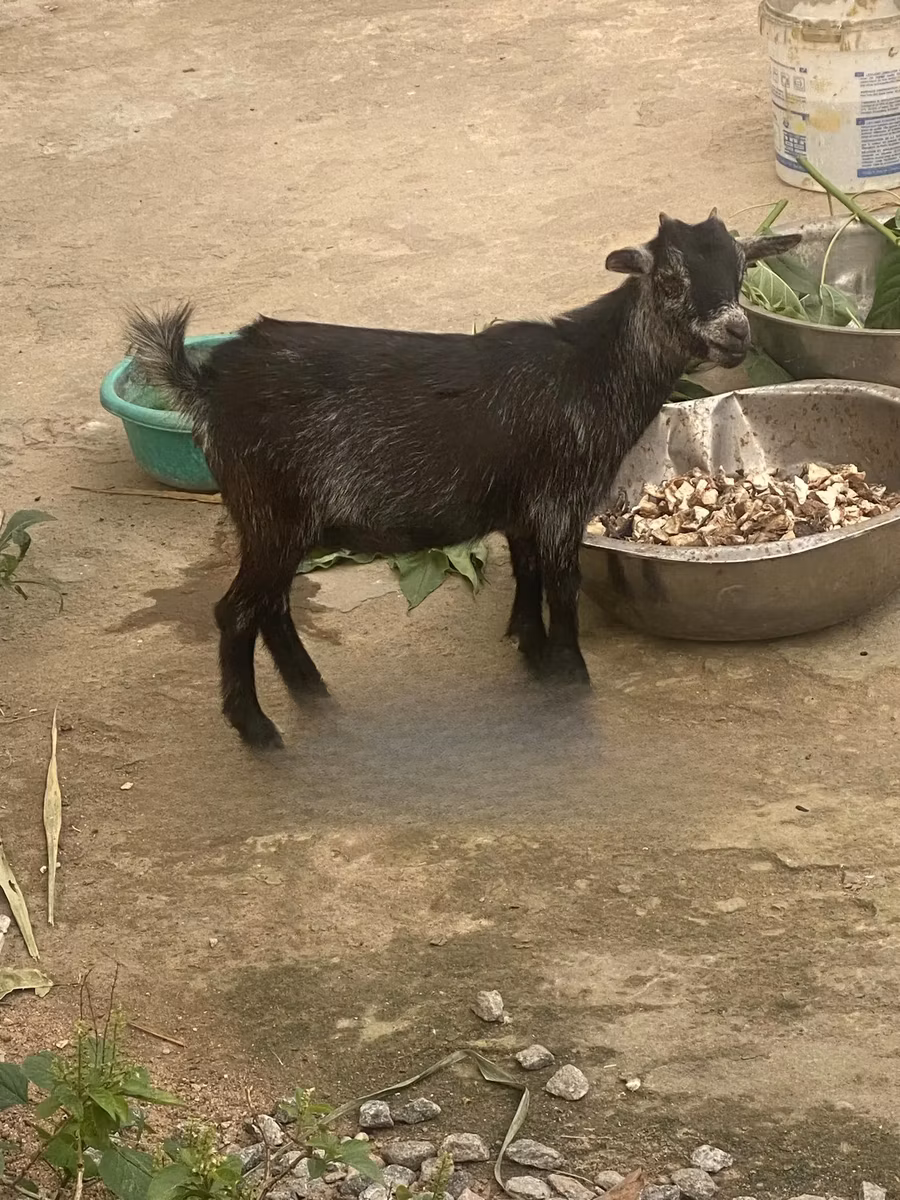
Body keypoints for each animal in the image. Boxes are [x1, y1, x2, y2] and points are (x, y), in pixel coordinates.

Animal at [127, 211, 800, 748]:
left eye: (742, 270)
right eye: (670, 281)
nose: (737, 331)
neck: (591, 368)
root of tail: (206, 382)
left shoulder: (525, 508)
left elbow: (527, 575)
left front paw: (533, 654)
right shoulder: (560, 499)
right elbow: (561, 584)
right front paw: (572, 678)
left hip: (278, 523)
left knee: (270, 605)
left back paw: (313, 693)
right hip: (272, 511)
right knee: (237, 610)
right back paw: (259, 731)